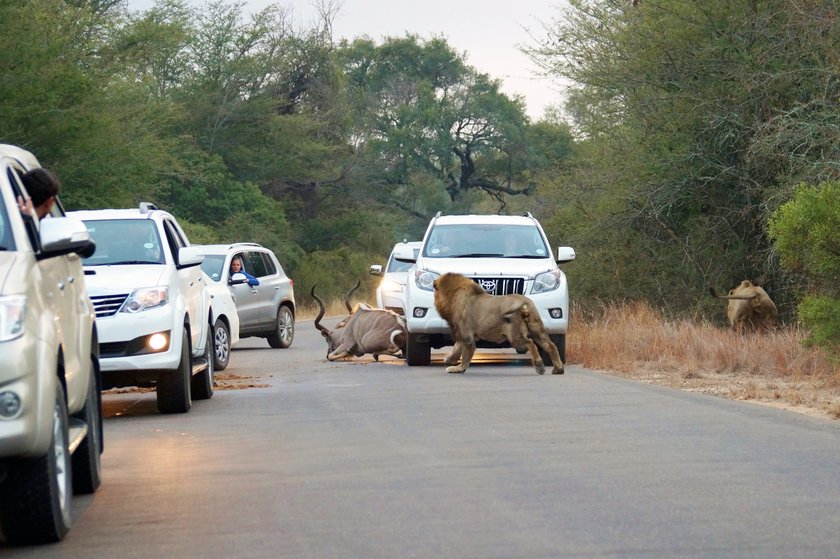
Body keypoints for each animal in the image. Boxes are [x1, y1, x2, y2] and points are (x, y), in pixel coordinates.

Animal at [434, 272, 564, 376]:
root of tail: (524, 301)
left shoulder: (467, 336)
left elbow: (465, 355)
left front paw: (457, 369)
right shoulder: (465, 334)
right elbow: (457, 348)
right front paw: (449, 359)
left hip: (515, 335)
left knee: (531, 344)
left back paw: (539, 366)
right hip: (537, 329)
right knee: (551, 346)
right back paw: (558, 369)